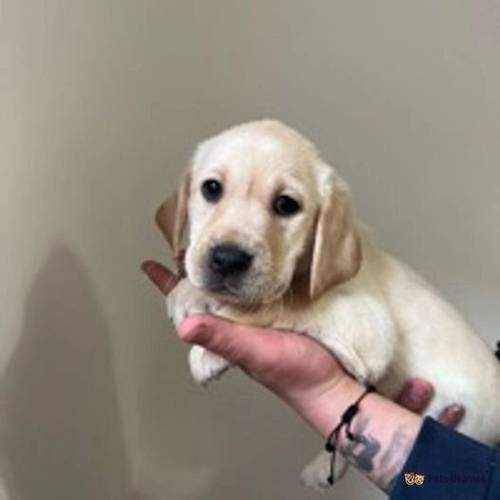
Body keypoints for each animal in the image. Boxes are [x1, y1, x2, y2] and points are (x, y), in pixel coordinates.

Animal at [156, 120, 500, 488]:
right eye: (211, 189)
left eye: (286, 205)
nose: (227, 259)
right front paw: (188, 292)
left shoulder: (366, 327)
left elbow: (278, 305)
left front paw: (206, 353)